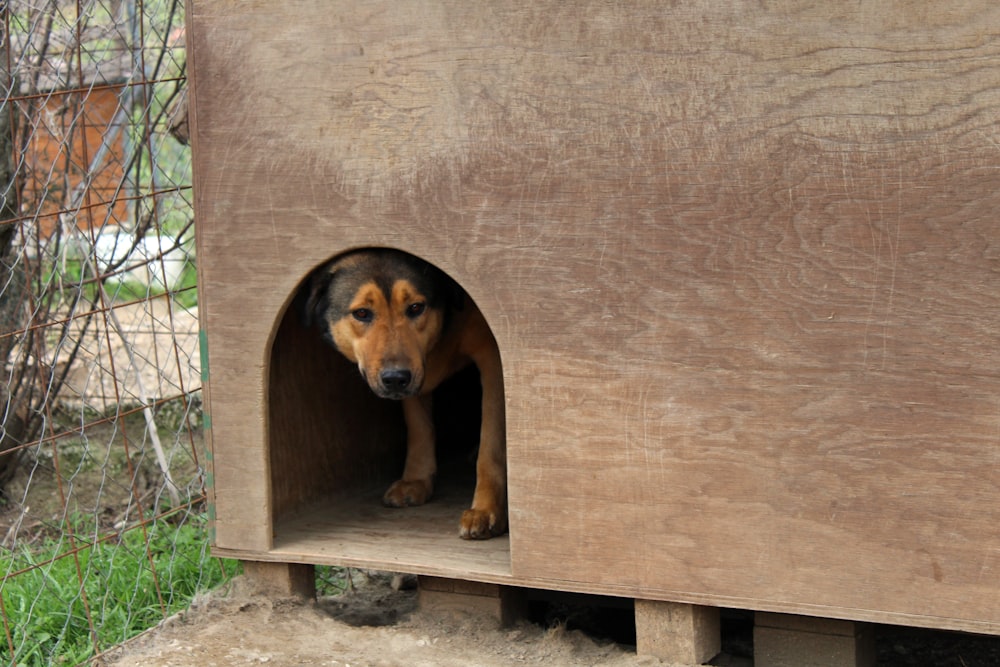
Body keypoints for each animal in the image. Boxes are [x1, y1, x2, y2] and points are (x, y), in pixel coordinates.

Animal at [302, 248, 508, 540]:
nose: (396, 378)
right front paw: (416, 480)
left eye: (415, 308)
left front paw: (487, 510)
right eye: (362, 313)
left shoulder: (491, 356)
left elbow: (491, 444)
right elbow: (418, 426)